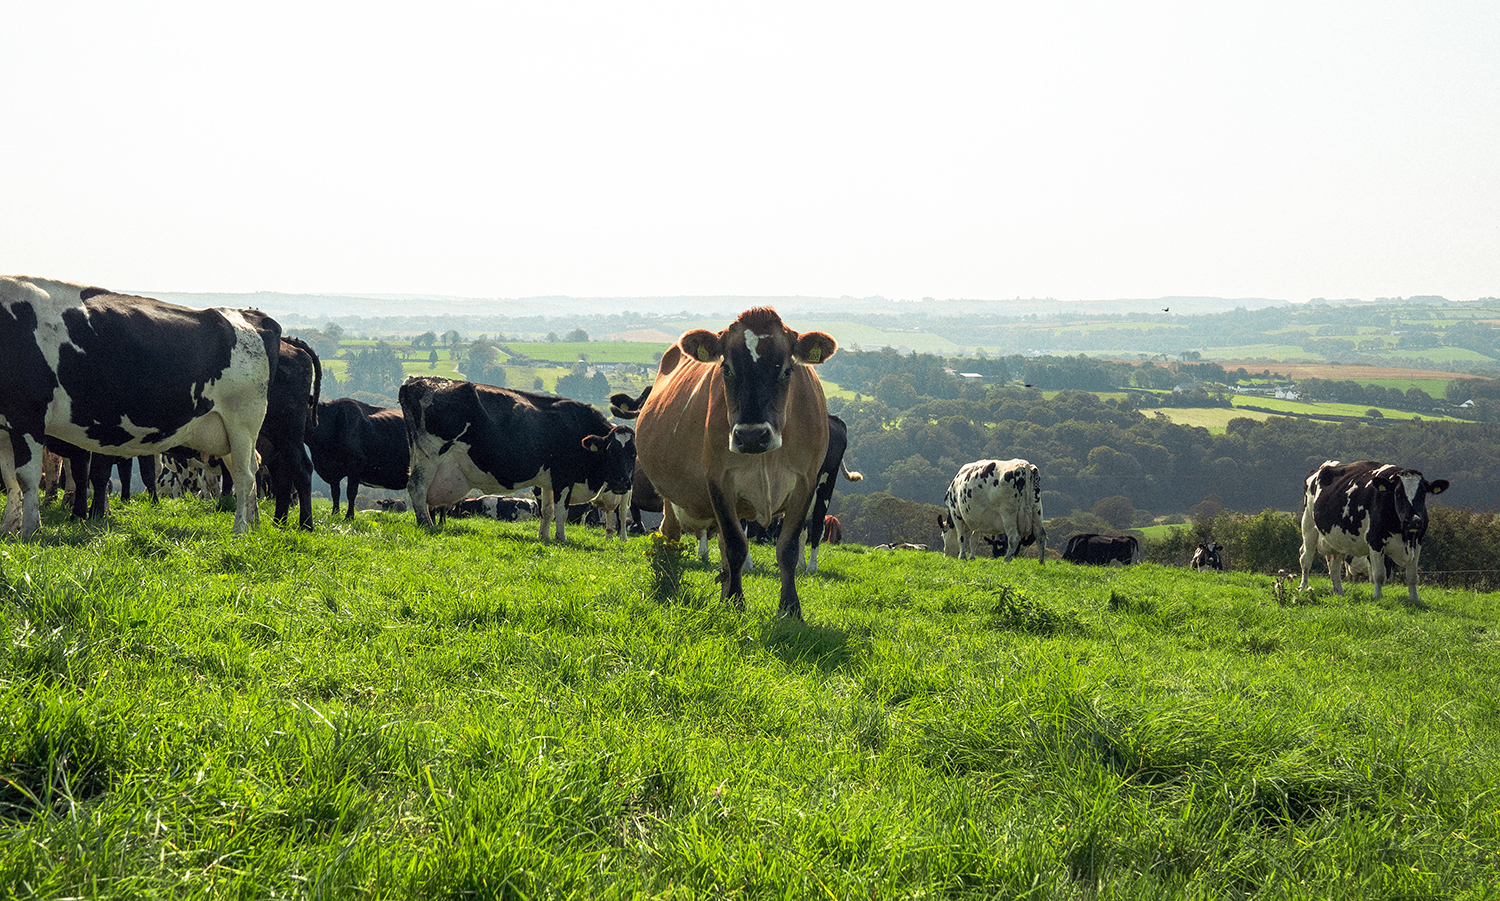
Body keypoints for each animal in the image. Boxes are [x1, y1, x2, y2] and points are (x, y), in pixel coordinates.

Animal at [0, 274, 279, 536]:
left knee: (244, 475)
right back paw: (254, 524)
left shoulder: (28, 416)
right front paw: (8, 528)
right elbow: (10, 477)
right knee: (249, 468)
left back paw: (239, 530)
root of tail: (250, 315)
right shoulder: (5, 429)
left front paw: (29, 530)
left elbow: (25, 478)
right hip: (226, 433)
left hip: (242, 422)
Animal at [399, 374, 633, 539]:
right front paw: (561, 538)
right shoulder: (563, 478)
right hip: (429, 455)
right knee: (417, 488)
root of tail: (415, 380)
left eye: (633, 453)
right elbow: (561, 512)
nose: (624, 482)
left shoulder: (547, 482)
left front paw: (544, 537)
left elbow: (547, 511)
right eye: (611, 451)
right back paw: (426, 524)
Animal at [621, 307, 840, 617]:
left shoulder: (806, 482)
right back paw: (669, 581)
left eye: (787, 371)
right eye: (726, 368)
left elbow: (786, 549)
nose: (751, 436)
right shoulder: (719, 480)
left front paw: (790, 608)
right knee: (670, 535)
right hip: (671, 496)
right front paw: (736, 603)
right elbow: (737, 546)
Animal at [1296, 461, 1446, 599]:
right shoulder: (1375, 541)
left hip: (1336, 538)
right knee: (1306, 558)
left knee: (1334, 566)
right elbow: (1378, 575)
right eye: (1397, 493)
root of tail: (1324, 466)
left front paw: (1415, 599)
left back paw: (1339, 592)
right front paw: (1377, 597)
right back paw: (1303, 587)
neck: (1403, 535)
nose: (1414, 520)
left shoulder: (1418, 541)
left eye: (1423, 494)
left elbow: (1412, 576)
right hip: (1308, 525)